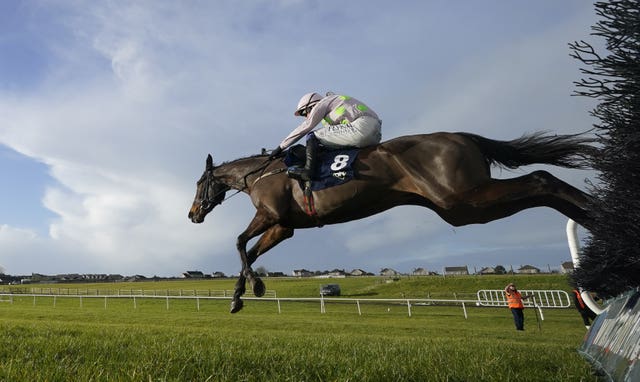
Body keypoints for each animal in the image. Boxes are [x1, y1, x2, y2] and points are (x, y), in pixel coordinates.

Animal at [188, 132, 592, 314]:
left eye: (197, 183)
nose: (192, 214)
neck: (262, 174)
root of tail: (464, 137)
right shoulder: (283, 226)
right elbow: (250, 251)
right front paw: (239, 296)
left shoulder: (270, 215)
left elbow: (239, 242)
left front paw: (253, 288)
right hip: (461, 206)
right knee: (542, 185)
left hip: (463, 200)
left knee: (541, 179)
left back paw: (593, 214)